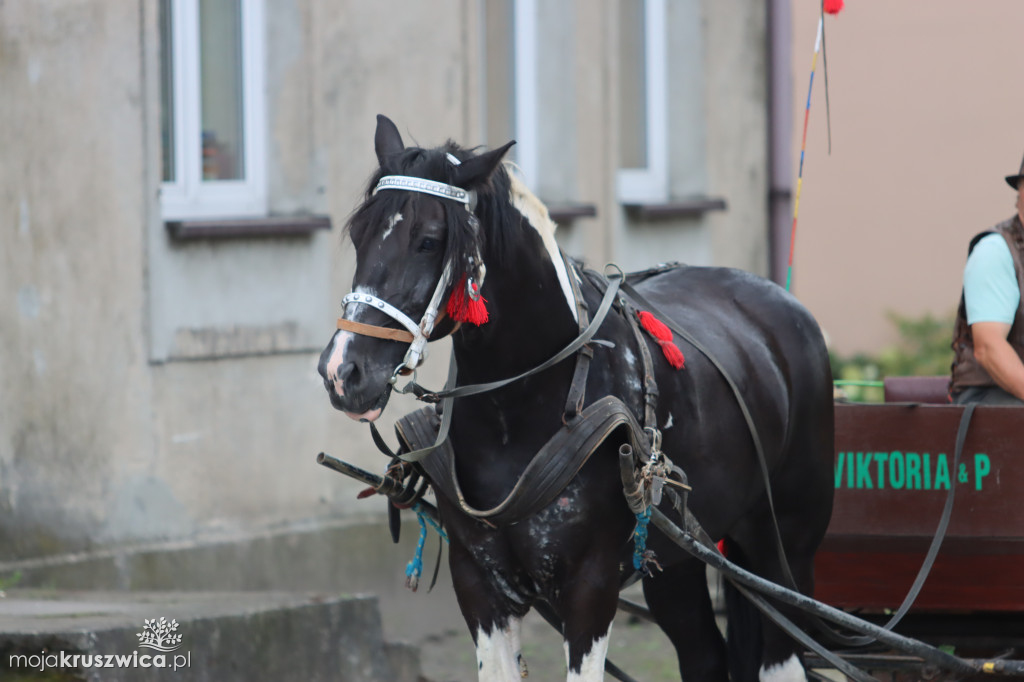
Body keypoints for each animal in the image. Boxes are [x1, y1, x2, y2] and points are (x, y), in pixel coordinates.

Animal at [317, 114, 831, 675]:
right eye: (360, 235)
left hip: (784, 550)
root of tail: (779, 299)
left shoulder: (591, 587)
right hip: (677, 560)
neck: (520, 409)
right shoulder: (479, 585)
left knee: (783, 655)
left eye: (429, 241)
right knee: (705, 655)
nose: (342, 371)